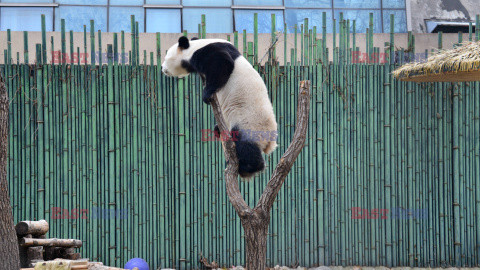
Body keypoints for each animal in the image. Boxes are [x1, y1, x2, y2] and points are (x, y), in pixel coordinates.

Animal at [160, 36, 276, 179]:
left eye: (166, 57)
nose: (162, 67)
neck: (194, 46)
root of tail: (270, 142)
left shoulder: (207, 52)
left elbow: (223, 64)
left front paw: (206, 94)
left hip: (250, 122)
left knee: (245, 144)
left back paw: (248, 167)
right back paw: (218, 130)